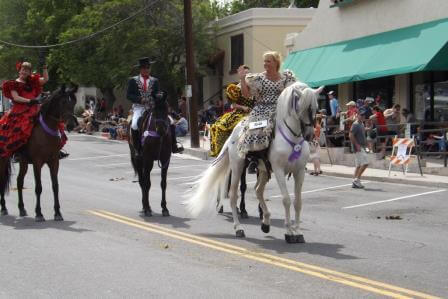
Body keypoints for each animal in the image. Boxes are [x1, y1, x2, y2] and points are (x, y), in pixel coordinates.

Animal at [0, 85, 77, 221]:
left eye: (73, 103)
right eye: (63, 102)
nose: (71, 125)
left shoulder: (54, 161)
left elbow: (55, 186)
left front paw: (57, 213)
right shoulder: (37, 162)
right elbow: (38, 187)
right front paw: (39, 213)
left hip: (24, 162)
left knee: (19, 181)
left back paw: (22, 209)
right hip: (3, 159)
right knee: (2, 179)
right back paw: (4, 208)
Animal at [185, 82, 322, 244]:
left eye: (316, 107)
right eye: (302, 107)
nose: (309, 135)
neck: (291, 138)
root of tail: (234, 133)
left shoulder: (299, 171)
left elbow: (298, 202)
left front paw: (298, 232)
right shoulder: (279, 170)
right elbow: (286, 199)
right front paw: (289, 232)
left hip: (262, 170)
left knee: (258, 190)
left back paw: (265, 222)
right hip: (237, 167)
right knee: (233, 195)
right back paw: (238, 228)